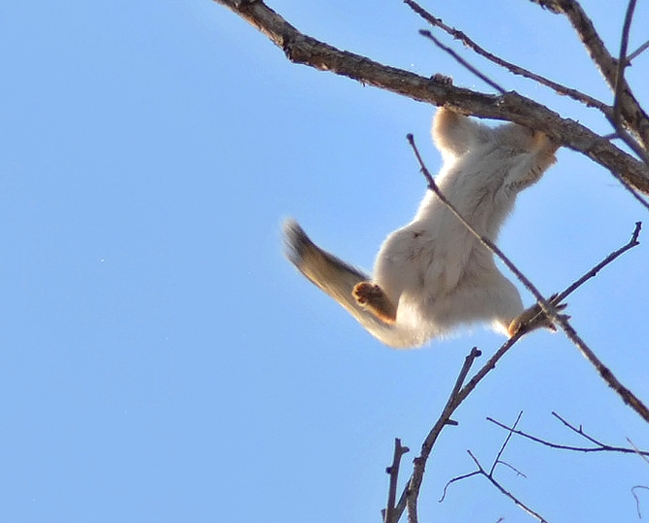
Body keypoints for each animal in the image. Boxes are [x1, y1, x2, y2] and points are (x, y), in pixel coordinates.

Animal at [284, 105, 560, 350]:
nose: (535, 125)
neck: (506, 148)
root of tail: (425, 305)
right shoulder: (472, 141)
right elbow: (446, 127)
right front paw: (445, 84)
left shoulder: (515, 171)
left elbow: (531, 168)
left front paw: (551, 141)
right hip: (404, 247)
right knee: (392, 302)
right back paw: (381, 302)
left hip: (493, 292)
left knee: (508, 324)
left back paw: (529, 319)